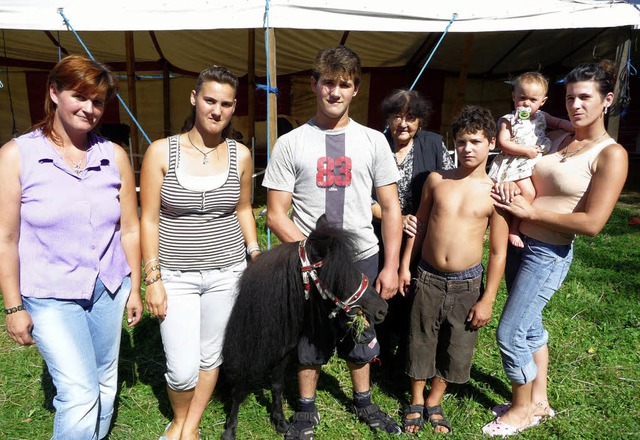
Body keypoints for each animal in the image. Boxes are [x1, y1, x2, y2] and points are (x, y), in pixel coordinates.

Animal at [220, 217, 390, 440]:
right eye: (337, 273)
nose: (382, 308)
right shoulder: (244, 354)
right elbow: (239, 391)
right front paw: (230, 430)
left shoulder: (282, 355)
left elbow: (277, 385)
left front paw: (281, 422)